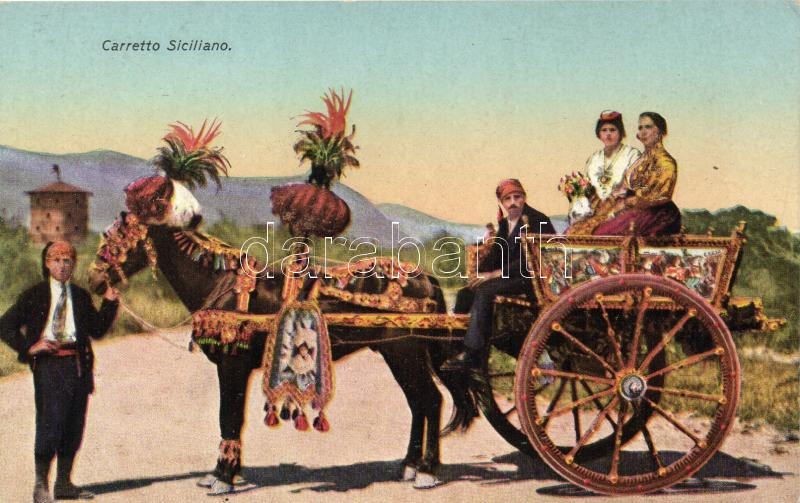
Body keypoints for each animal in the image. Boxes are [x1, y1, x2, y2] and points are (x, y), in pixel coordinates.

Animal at [87, 100, 476, 494]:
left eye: (116, 237)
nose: (94, 278)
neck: (218, 280)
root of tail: (424, 277)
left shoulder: (233, 364)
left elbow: (229, 416)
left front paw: (222, 476)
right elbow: (232, 418)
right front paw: (226, 471)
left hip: (404, 350)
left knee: (429, 400)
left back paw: (426, 470)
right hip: (397, 352)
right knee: (420, 403)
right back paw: (410, 466)